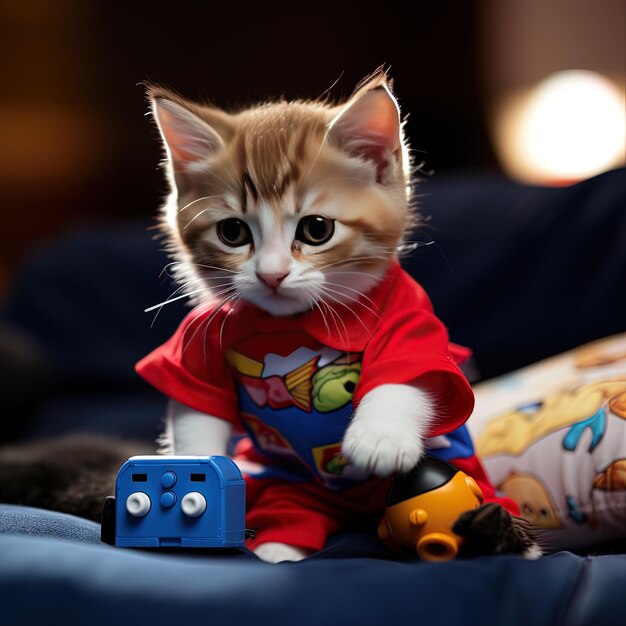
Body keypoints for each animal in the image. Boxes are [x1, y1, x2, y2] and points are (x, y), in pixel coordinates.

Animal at [150, 75, 434, 564]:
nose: (271, 274)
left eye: (316, 229)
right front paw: (193, 480)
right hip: (288, 486)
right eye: (232, 232)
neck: (290, 326)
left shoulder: (410, 313)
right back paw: (278, 545)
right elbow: (194, 412)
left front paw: (380, 438)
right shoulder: (194, 346)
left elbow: (408, 374)